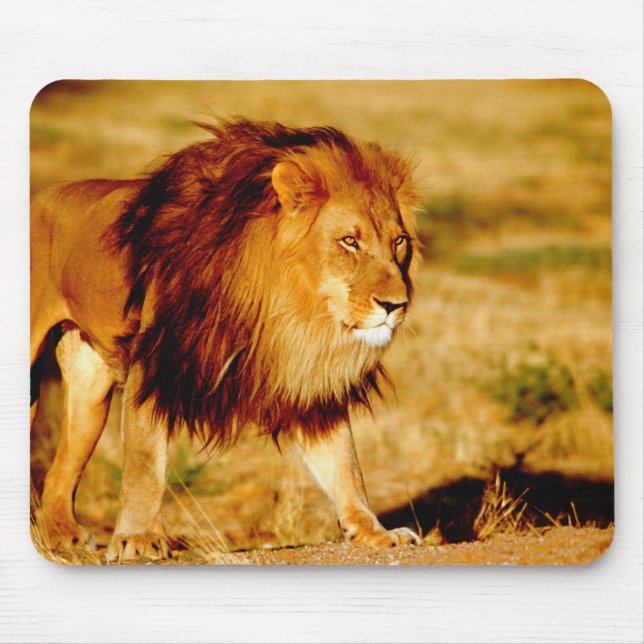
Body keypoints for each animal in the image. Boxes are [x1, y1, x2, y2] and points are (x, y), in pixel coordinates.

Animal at [30, 118, 421, 561]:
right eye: (349, 241)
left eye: (399, 242)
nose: (396, 305)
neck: (290, 307)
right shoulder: (154, 363)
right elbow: (145, 464)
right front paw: (137, 538)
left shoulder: (307, 380)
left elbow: (345, 464)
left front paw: (374, 531)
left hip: (89, 394)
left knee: (60, 471)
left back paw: (62, 534)